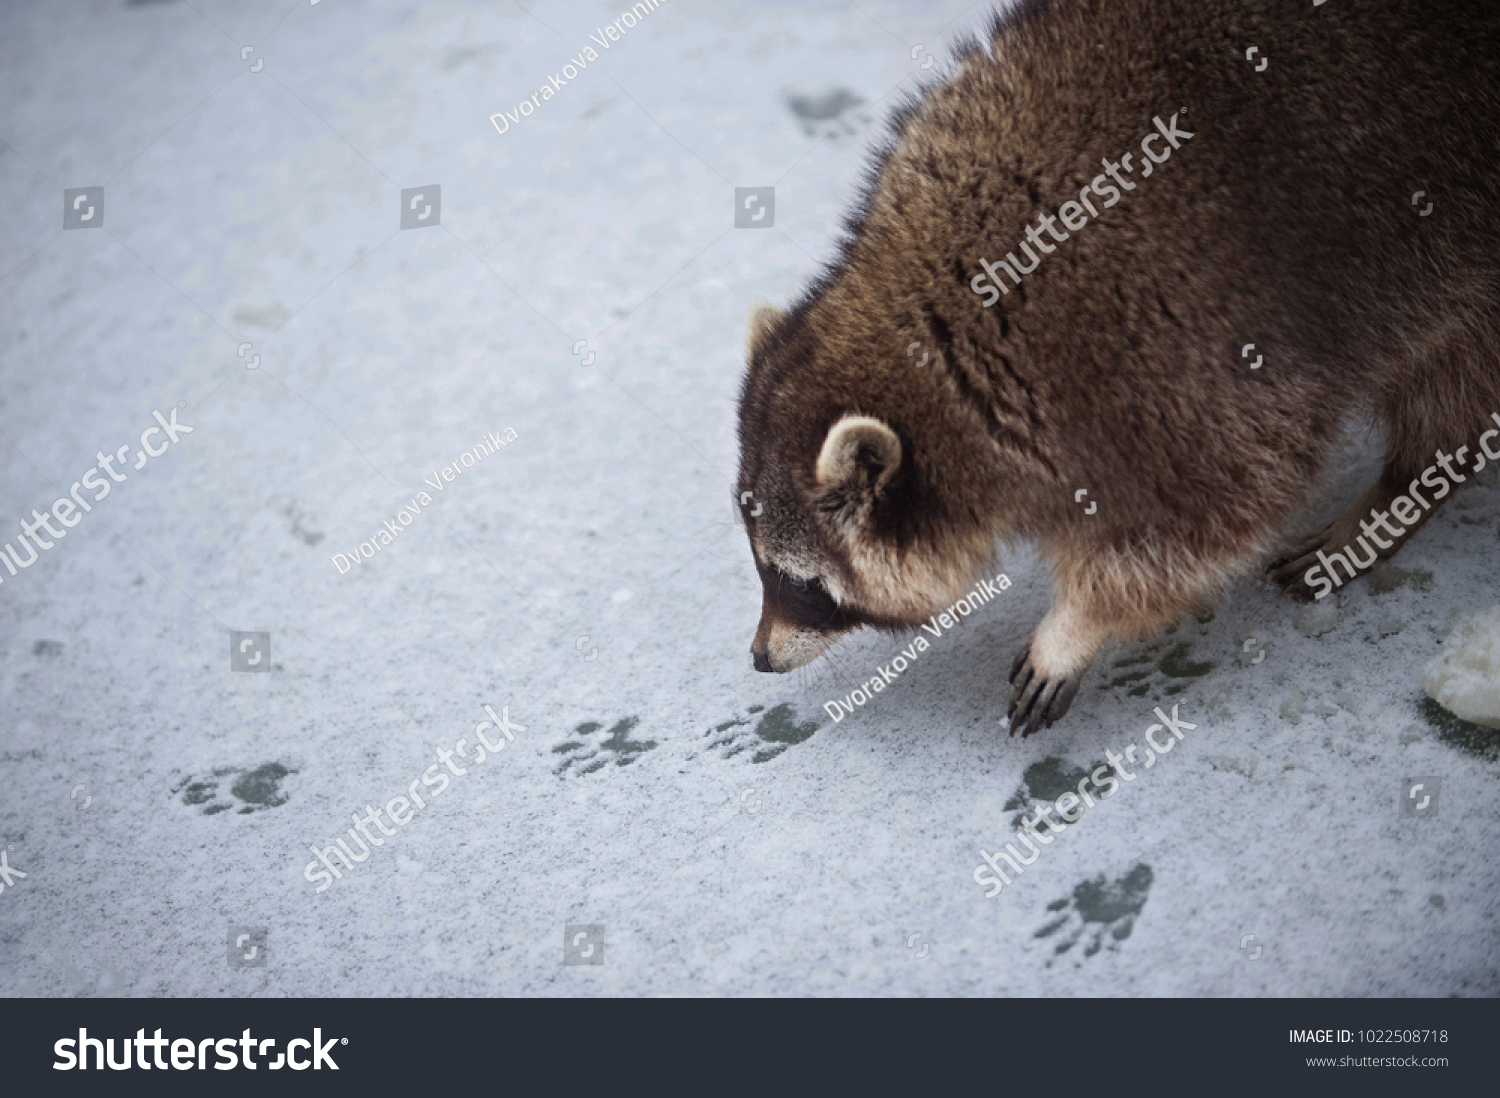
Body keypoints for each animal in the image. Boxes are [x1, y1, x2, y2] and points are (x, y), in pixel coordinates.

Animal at [735, 2, 1500, 738]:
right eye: (763, 565)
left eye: (798, 582)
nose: (760, 659)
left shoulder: (1175, 354)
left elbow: (1214, 510)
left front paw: (1078, 623)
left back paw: (1402, 488)